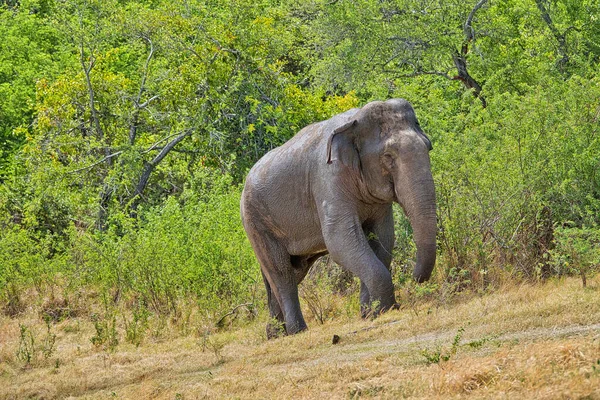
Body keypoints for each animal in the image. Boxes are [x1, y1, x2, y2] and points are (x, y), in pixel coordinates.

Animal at [239, 97, 436, 338]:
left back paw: (275, 335)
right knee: (281, 272)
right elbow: (340, 240)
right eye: (388, 156)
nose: (414, 280)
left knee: (293, 272)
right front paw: (386, 309)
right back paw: (297, 332)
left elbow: (383, 238)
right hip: (255, 221)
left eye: (428, 146)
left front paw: (370, 314)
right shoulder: (328, 177)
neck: (355, 121)